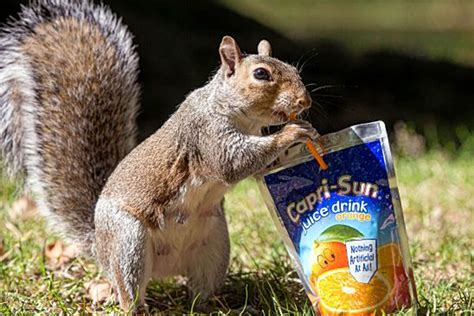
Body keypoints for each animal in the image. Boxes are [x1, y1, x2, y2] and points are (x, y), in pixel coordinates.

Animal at [2, 0, 318, 312]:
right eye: (261, 74)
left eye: (293, 68)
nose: (305, 101)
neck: (241, 116)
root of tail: (99, 248)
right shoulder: (205, 135)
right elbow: (232, 163)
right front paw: (292, 133)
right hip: (128, 242)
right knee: (129, 290)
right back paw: (137, 306)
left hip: (214, 246)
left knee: (199, 294)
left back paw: (224, 306)